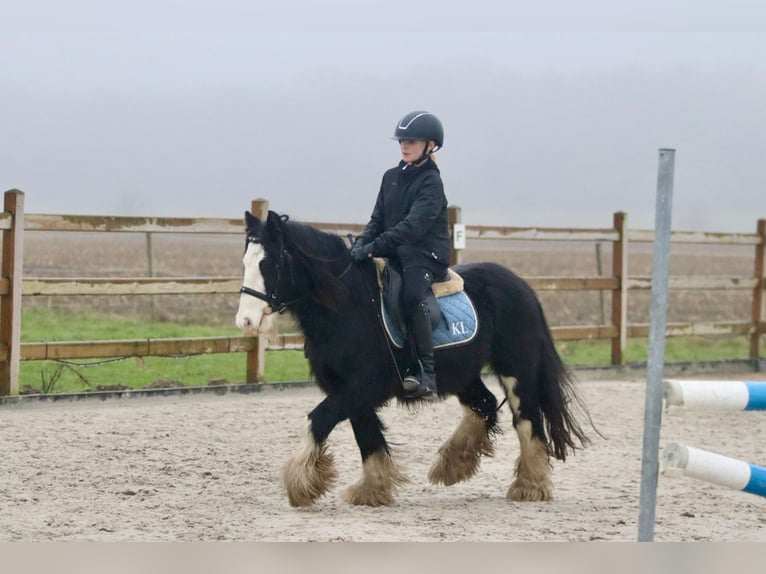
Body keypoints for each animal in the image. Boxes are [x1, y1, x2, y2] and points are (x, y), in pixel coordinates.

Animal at [234, 212, 592, 508]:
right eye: (245, 261)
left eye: (269, 264)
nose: (245, 322)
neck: (349, 306)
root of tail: (522, 286)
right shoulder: (351, 392)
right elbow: (368, 438)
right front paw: (372, 491)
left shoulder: (360, 388)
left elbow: (316, 421)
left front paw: (300, 485)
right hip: (462, 374)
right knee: (485, 404)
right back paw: (453, 464)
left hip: (516, 370)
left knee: (527, 419)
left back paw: (530, 486)